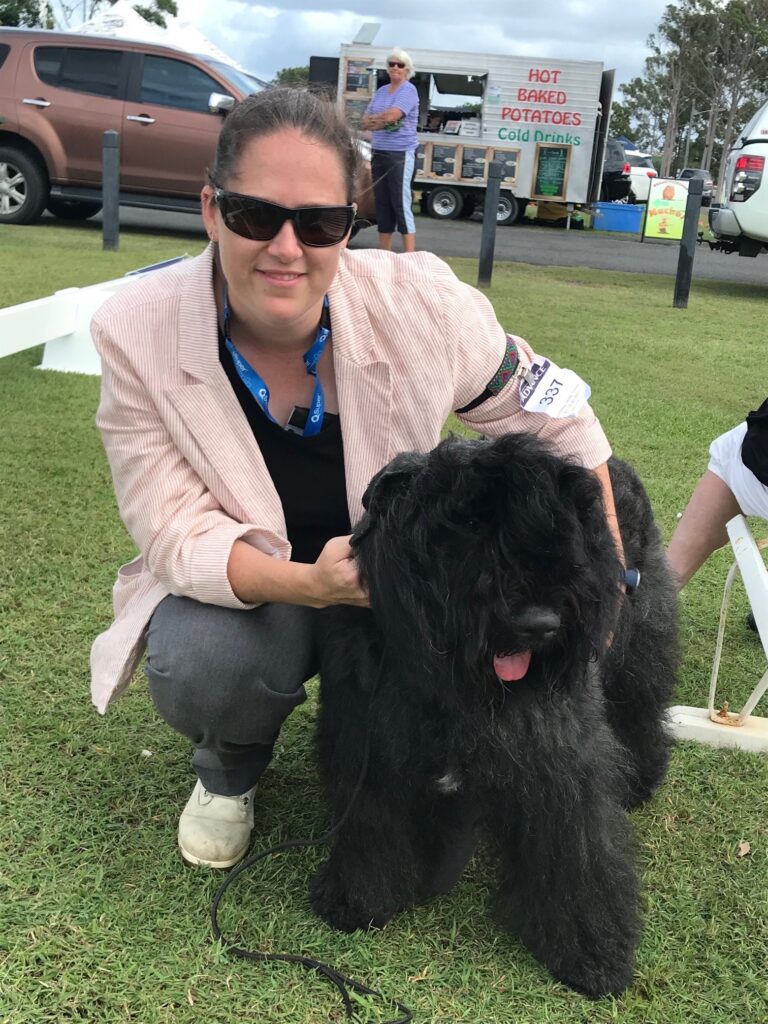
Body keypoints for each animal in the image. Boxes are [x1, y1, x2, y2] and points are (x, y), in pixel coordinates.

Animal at [309, 432, 675, 999]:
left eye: (568, 525)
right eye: (466, 523)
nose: (539, 623)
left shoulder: (560, 759)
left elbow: (578, 850)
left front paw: (591, 951)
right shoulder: (366, 742)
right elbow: (370, 821)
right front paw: (359, 898)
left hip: (637, 648)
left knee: (640, 712)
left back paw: (640, 780)